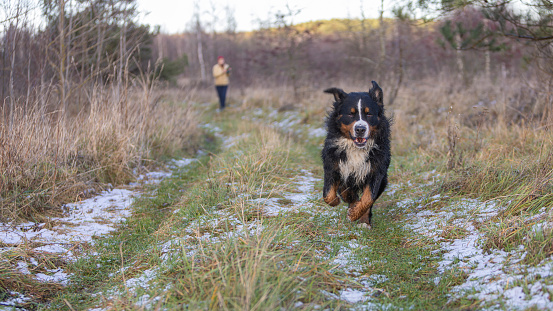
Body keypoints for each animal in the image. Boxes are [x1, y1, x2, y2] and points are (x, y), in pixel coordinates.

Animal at [322, 81, 390, 229]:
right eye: (350, 114)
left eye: (369, 114)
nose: (360, 129)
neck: (356, 149)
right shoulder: (333, 165)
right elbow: (329, 194)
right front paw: (338, 201)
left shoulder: (376, 170)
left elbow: (368, 198)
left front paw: (355, 215)